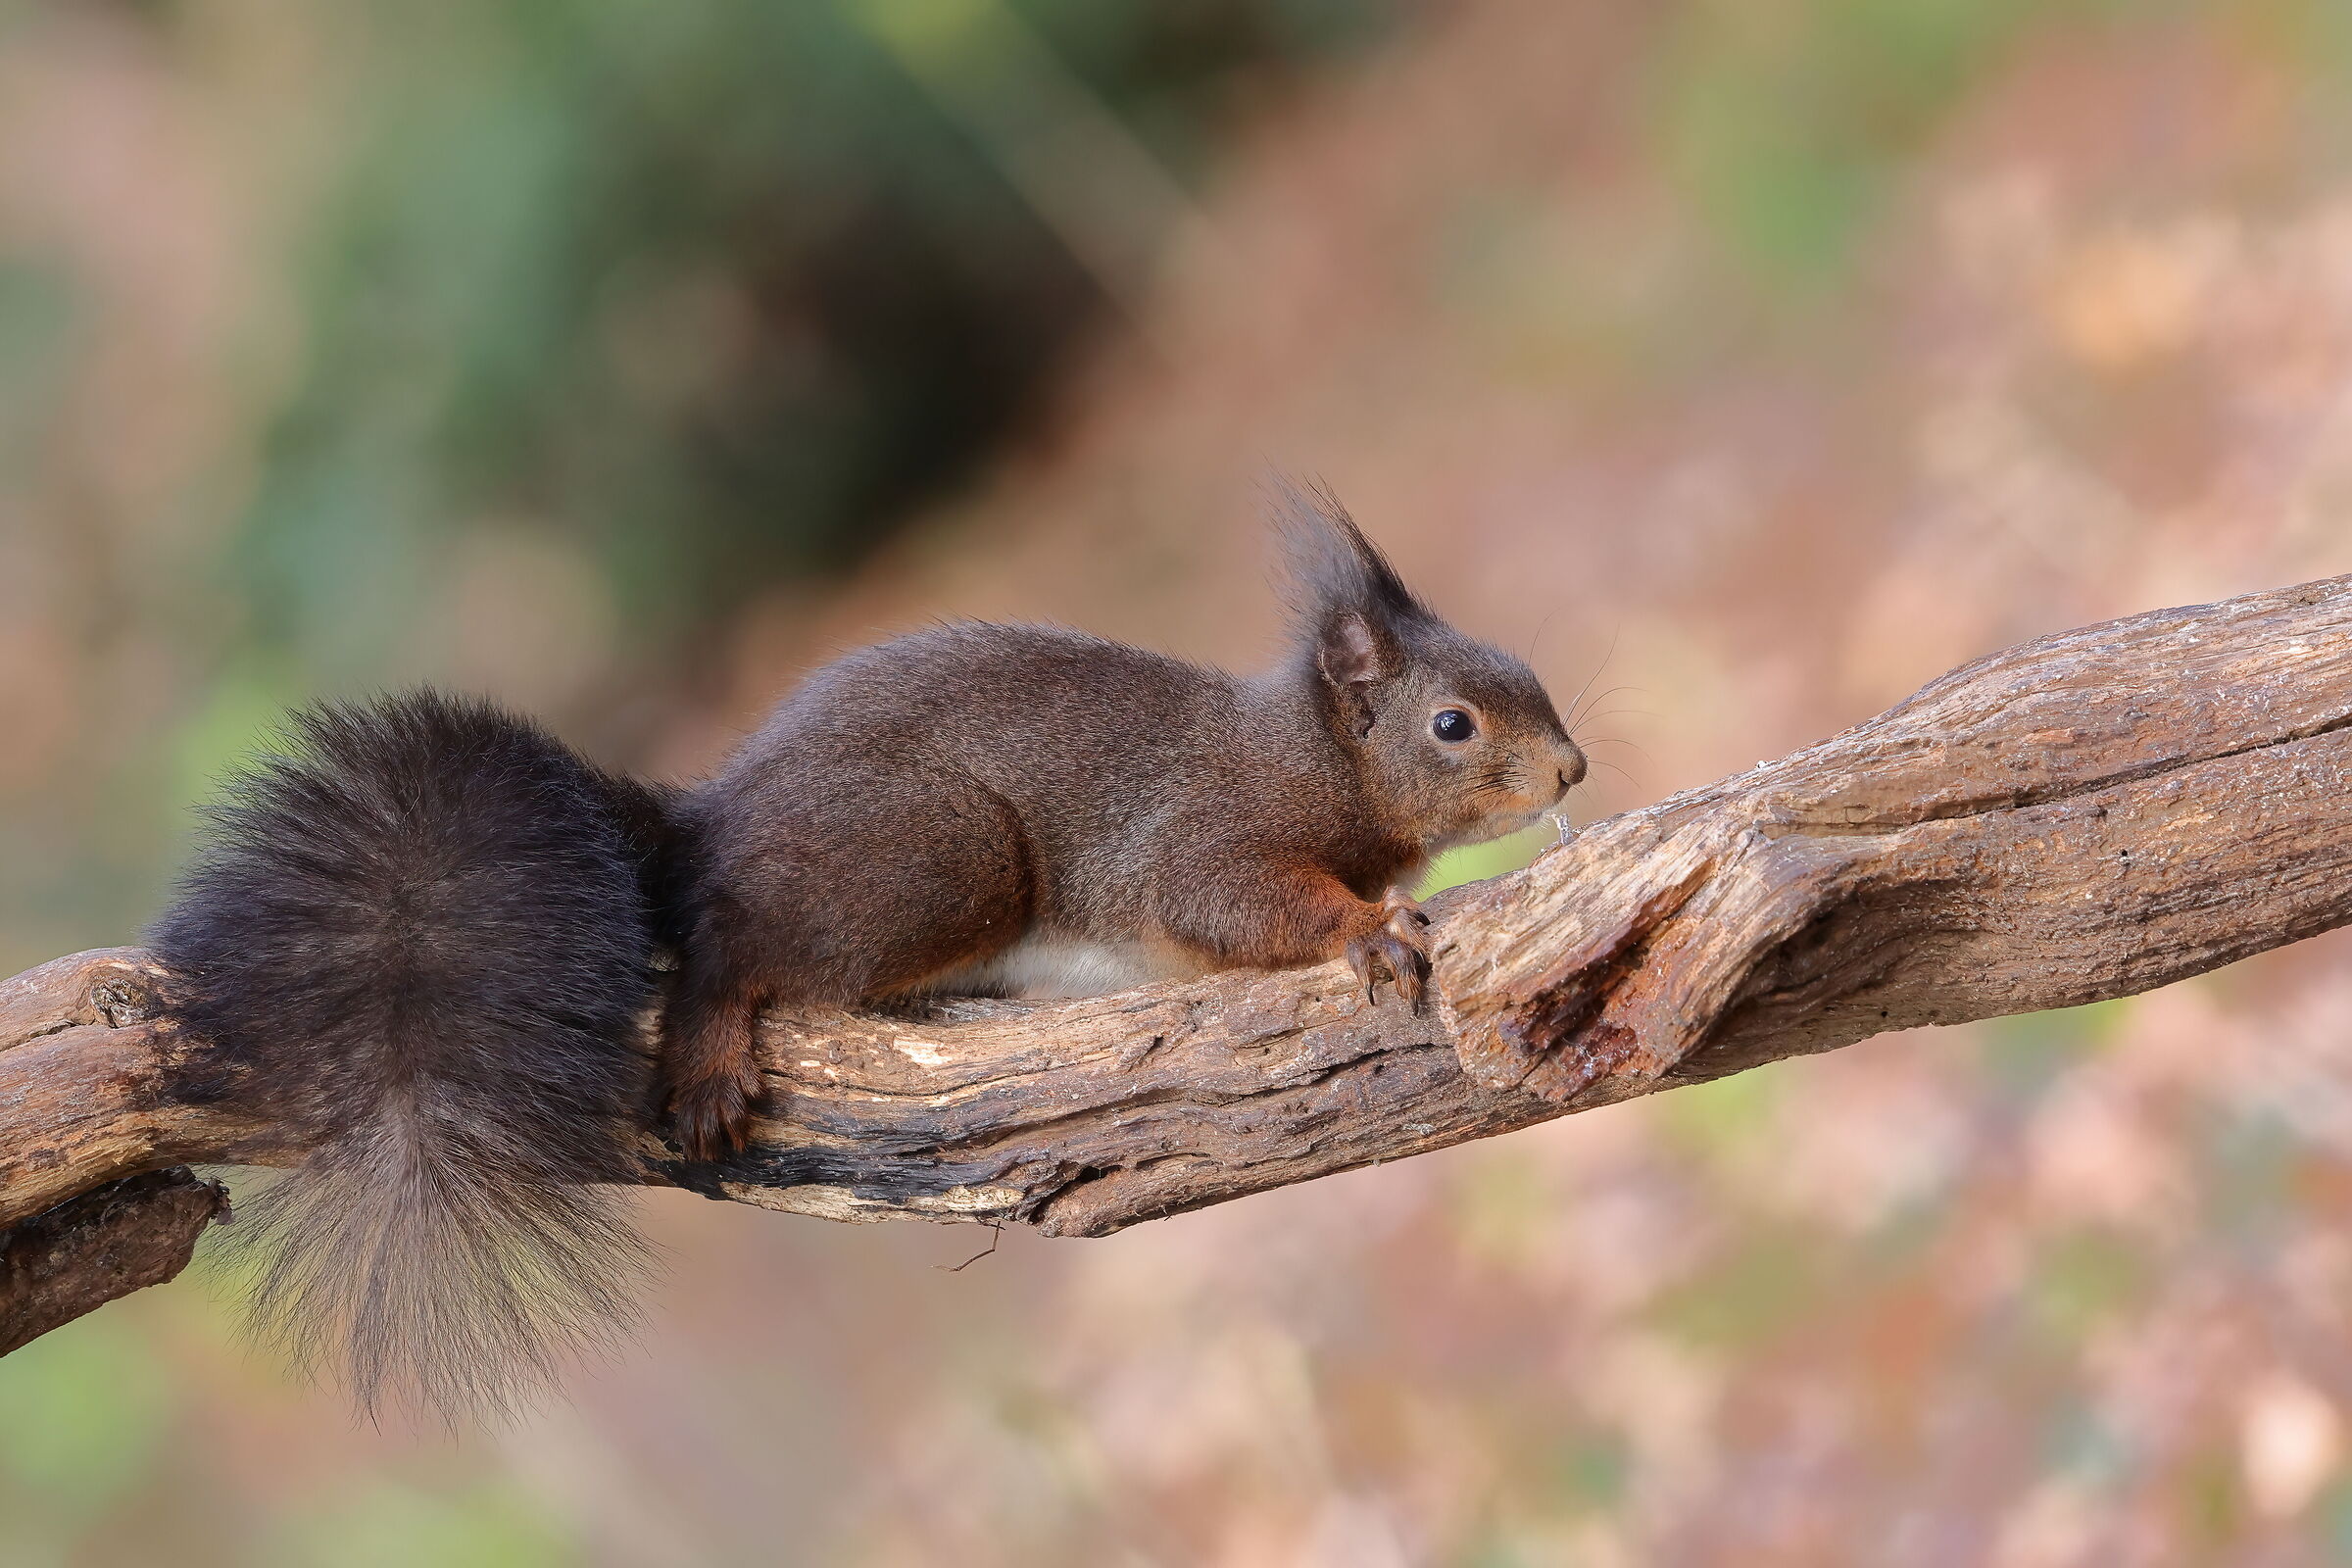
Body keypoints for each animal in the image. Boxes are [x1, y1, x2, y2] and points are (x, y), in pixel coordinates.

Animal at [147, 483, 1586, 1421]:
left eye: (1527, 674)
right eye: (1454, 724)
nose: (1573, 769)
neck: (1313, 756)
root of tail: (709, 822)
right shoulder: (1200, 839)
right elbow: (1241, 903)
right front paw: (1369, 928)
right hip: (942, 855)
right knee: (731, 943)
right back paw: (715, 1041)